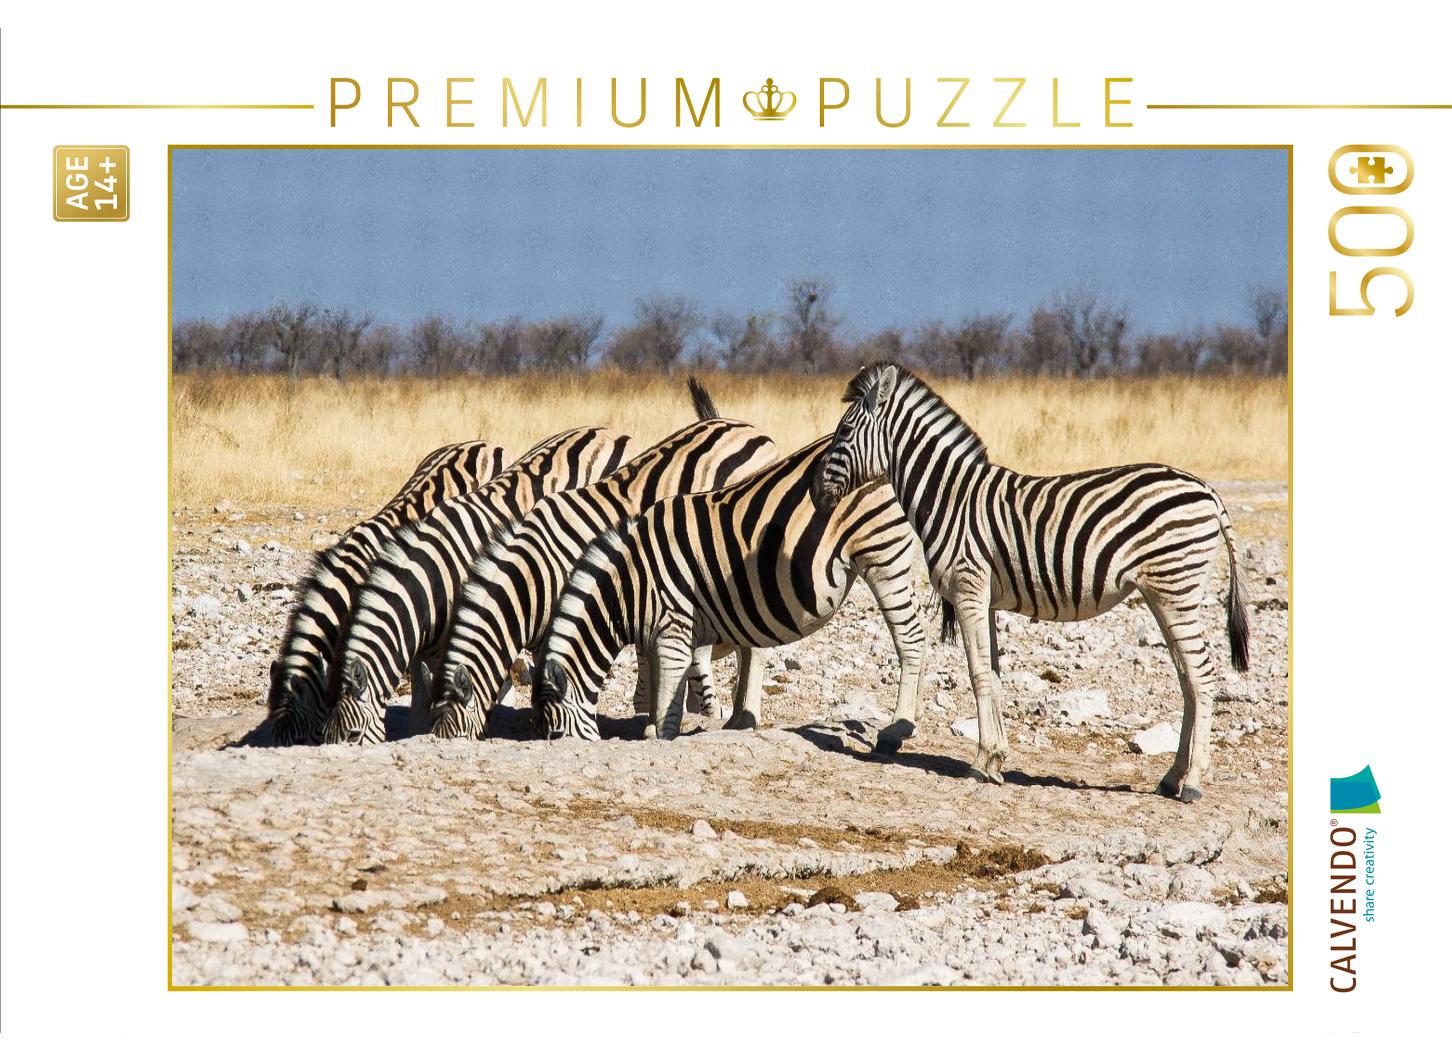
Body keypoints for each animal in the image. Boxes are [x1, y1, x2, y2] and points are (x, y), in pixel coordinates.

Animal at [531, 434, 935, 743]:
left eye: (555, 736)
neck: (629, 585)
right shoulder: (666, 634)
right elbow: (665, 693)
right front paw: (655, 729)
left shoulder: (674, 626)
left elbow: (667, 701)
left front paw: (662, 736)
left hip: (883, 554)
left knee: (911, 636)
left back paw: (899, 727)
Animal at [809, 362, 1249, 803]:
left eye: (844, 431)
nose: (815, 496)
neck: (949, 498)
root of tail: (1206, 489)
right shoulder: (985, 599)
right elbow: (993, 674)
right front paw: (995, 760)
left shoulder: (968, 589)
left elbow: (976, 674)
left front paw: (979, 762)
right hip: (1164, 593)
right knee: (1189, 679)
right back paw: (1172, 777)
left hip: (1176, 587)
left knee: (1202, 676)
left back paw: (1193, 782)